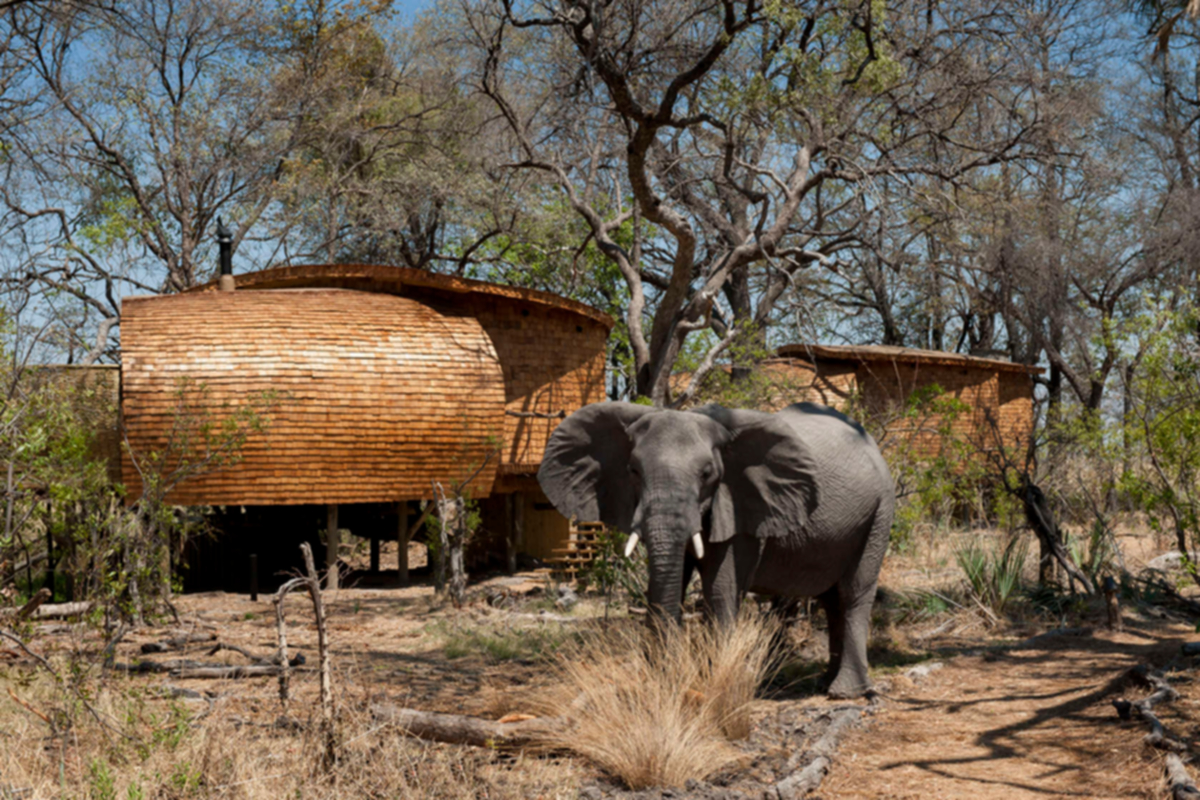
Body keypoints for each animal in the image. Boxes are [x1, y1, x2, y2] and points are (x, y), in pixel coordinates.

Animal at [540, 402, 897, 695]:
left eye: (707, 474)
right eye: (633, 471)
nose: (668, 675)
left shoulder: (742, 504)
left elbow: (721, 587)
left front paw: (712, 684)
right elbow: (668, 582)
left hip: (880, 512)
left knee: (853, 593)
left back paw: (845, 693)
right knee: (831, 599)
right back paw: (825, 683)